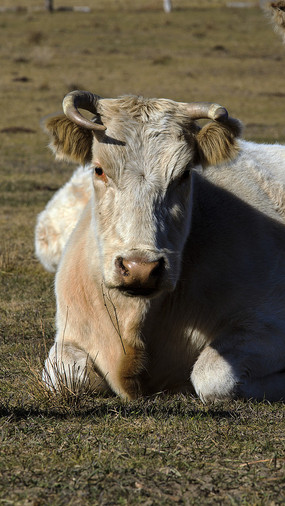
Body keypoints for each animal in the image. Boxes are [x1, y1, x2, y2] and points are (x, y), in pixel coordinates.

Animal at [37, 89, 285, 402]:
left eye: (185, 174)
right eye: (99, 170)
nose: (139, 268)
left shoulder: (271, 321)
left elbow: (212, 375)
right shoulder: (69, 334)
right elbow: (69, 377)